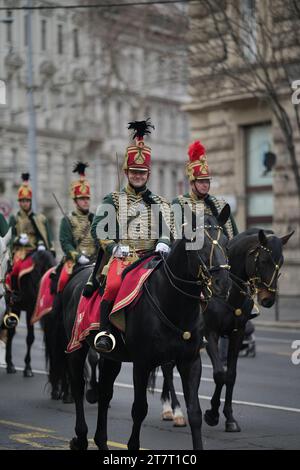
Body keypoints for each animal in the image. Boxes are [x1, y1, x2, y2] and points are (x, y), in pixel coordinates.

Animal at [62, 207, 231, 450]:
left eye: (226, 242)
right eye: (196, 243)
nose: (223, 283)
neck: (172, 302)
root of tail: (78, 276)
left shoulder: (190, 362)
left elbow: (195, 413)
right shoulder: (142, 364)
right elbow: (139, 410)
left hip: (112, 357)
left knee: (105, 393)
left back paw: (101, 441)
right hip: (77, 346)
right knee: (78, 387)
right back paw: (81, 437)